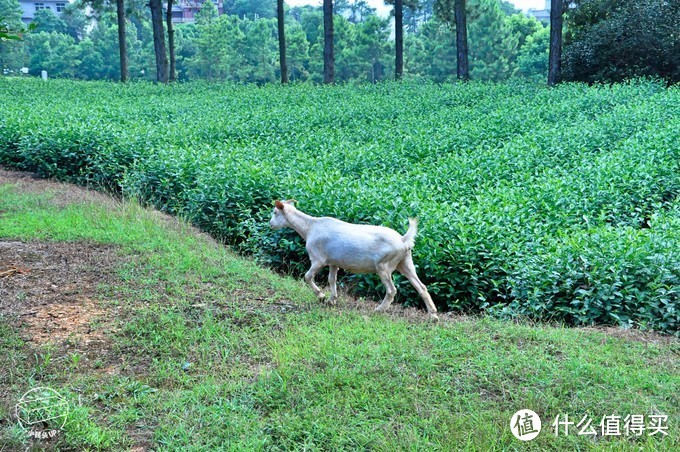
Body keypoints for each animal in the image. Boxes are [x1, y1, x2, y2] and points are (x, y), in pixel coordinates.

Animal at [268, 200, 438, 316]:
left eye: (275, 212)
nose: (270, 224)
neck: (310, 227)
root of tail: (403, 240)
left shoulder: (318, 259)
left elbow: (307, 276)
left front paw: (321, 296)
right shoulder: (333, 262)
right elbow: (332, 279)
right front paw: (332, 299)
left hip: (384, 265)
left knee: (391, 290)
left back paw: (379, 309)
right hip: (405, 262)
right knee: (421, 286)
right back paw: (433, 314)